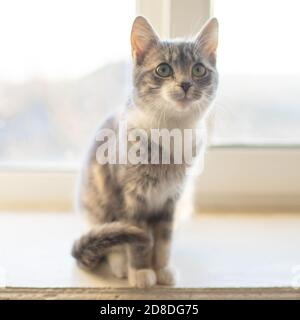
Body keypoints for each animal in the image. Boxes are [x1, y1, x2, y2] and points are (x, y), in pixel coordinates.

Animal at [72, 15, 219, 288]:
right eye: (163, 69)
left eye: (198, 69)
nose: (185, 84)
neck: (172, 130)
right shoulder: (129, 197)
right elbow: (138, 239)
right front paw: (140, 271)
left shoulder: (171, 199)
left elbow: (163, 240)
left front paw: (161, 268)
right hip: (97, 204)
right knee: (110, 240)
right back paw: (120, 264)